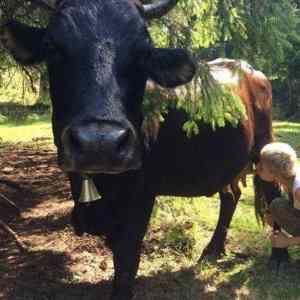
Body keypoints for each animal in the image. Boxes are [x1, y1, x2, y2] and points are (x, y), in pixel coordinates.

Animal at [1, 0, 284, 300]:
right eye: (52, 47)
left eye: (143, 54)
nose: (99, 143)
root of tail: (251, 71)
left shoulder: (141, 194)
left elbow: (126, 259)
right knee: (231, 195)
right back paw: (212, 250)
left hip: (264, 146)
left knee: (272, 192)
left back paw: (278, 257)